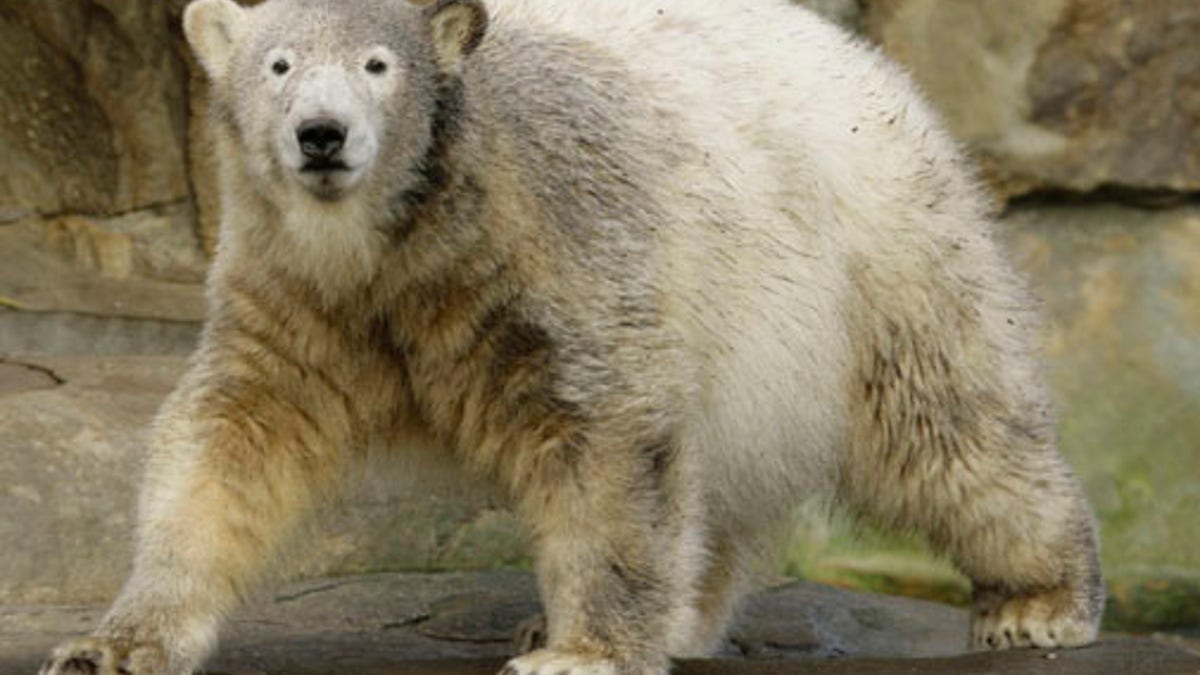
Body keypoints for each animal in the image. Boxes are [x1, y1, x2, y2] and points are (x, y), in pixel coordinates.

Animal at [40, 0, 1104, 674]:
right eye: (280, 64)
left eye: (380, 64)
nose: (322, 135)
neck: (407, 239)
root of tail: (871, 65)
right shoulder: (298, 296)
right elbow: (229, 441)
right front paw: (112, 644)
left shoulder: (554, 240)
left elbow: (606, 430)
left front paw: (579, 653)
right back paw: (683, 613)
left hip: (877, 246)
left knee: (946, 422)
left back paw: (1040, 601)